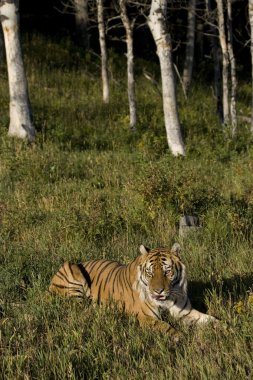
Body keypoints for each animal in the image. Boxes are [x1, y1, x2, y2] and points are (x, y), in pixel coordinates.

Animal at [49, 243, 217, 342]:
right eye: (150, 273)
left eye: (167, 271)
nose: (158, 291)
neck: (166, 300)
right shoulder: (145, 317)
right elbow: (164, 325)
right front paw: (180, 336)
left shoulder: (185, 312)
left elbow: (209, 319)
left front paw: (222, 327)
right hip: (73, 271)